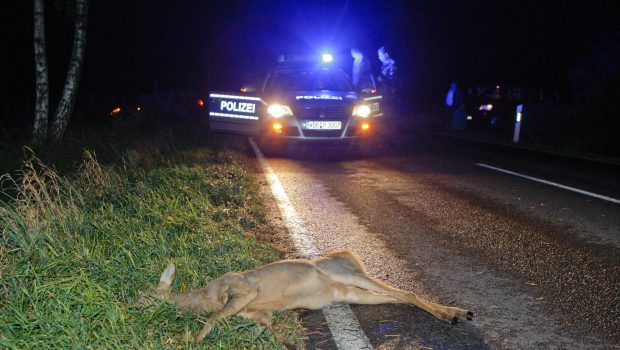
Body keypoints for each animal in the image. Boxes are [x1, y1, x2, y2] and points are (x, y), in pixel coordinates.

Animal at [137, 249, 474, 344]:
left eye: (145, 295)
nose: (133, 308)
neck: (206, 295)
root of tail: (349, 256)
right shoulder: (256, 312)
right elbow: (268, 329)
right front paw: (288, 343)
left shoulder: (241, 288)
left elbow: (215, 317)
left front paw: (193, 340)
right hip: (351, 293)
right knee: (397, 297)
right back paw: (457, 313)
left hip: (344, 272)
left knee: (404, 290)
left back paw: (453, 314)